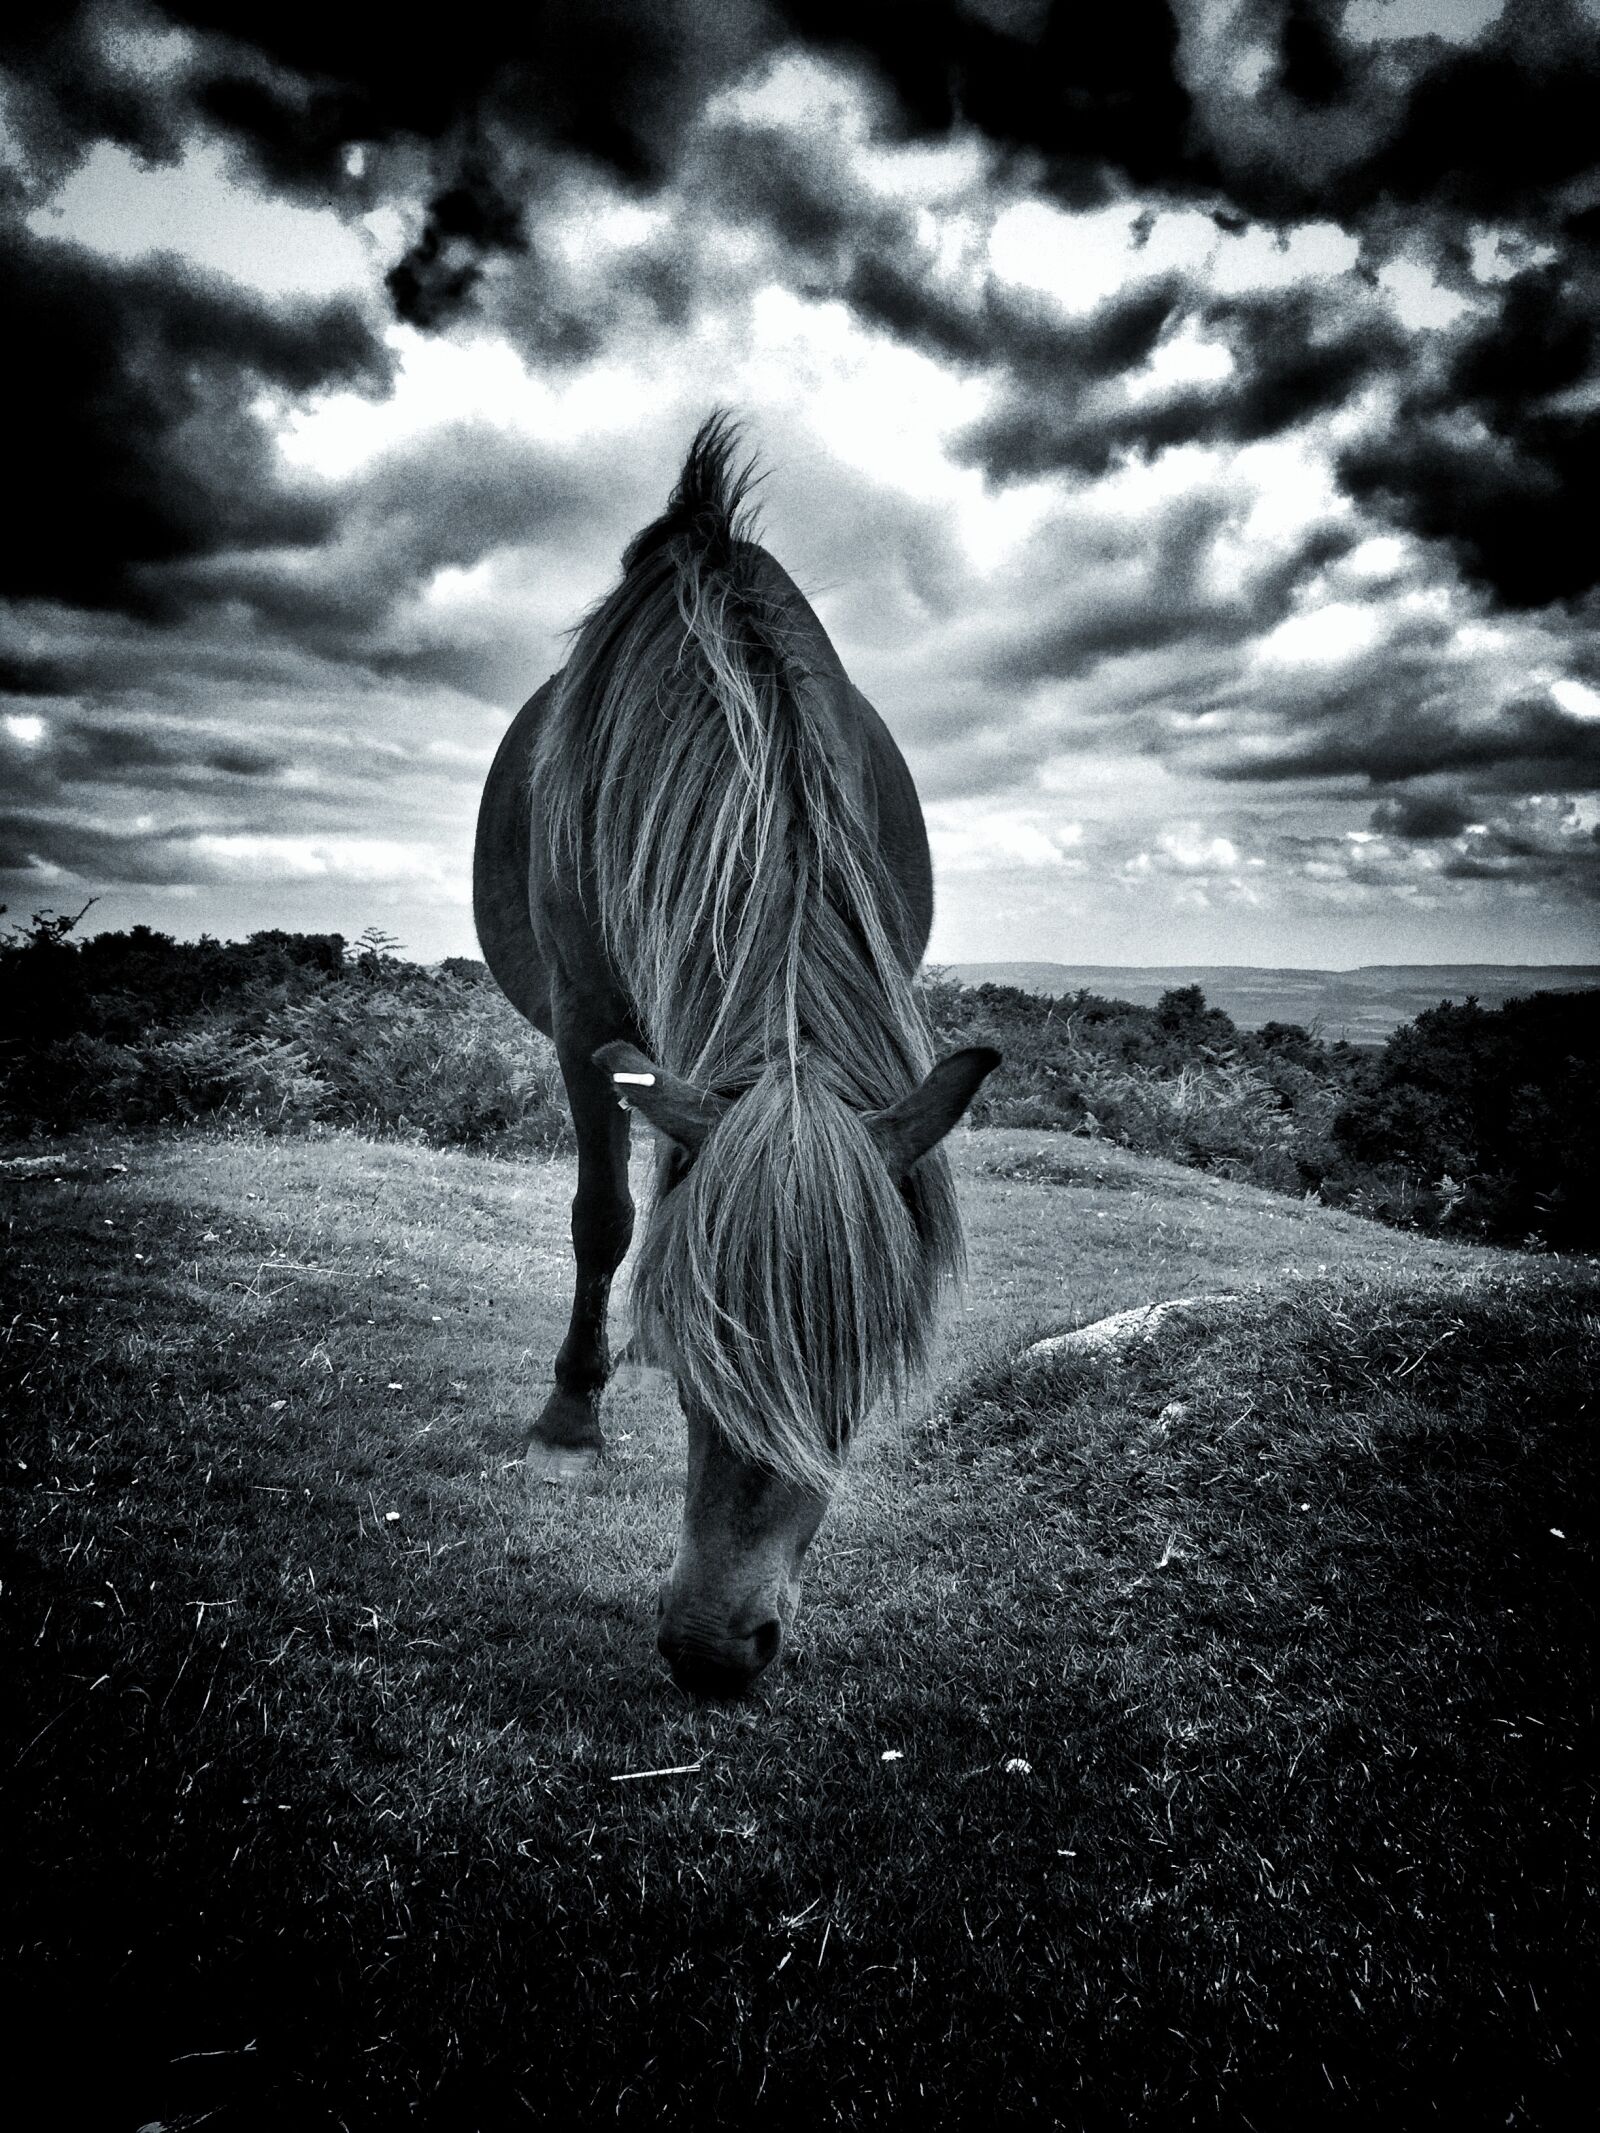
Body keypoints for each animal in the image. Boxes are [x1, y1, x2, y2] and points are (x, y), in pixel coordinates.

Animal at [473, 416, 999, 1696]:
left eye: (864, 1363)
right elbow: (607, 1221)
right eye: (700, 1345)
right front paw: (570, 1424)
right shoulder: (589, 1024)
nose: (714, 1648)